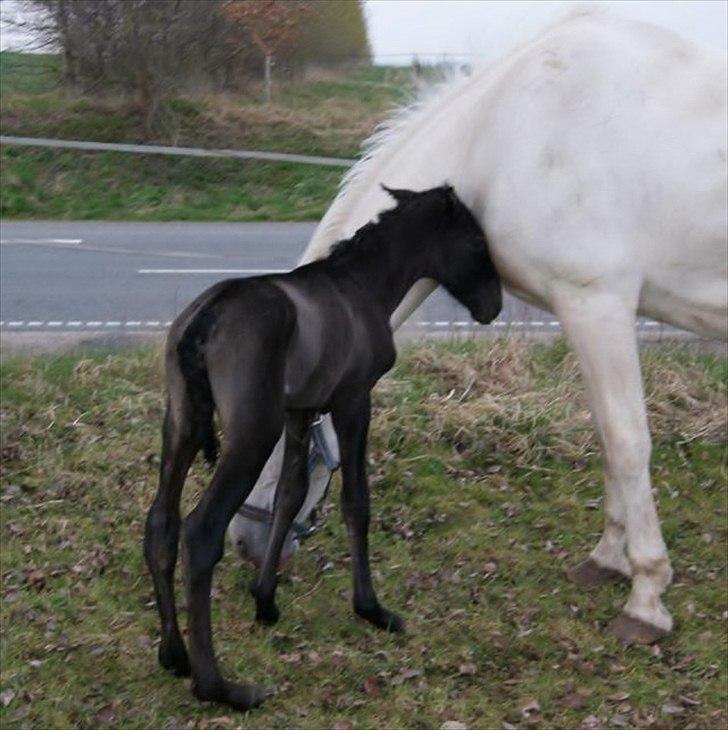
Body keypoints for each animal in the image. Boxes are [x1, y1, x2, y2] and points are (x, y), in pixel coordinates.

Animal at [142, 185, 500, 708]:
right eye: (476, 241)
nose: (493, 306)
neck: (361, 286)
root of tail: (203, 322)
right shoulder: (354, 400)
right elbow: (356, 500)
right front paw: (372, 609)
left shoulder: (301, 410)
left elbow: (290, 494)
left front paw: (265, 601)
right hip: (251, 434)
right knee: (201, 532)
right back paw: (219, 687)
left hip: (182, 422)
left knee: (161, 524)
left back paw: (173, 655)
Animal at [232, 8, 728, 640]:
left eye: (270, 440)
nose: (243, 543)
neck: (507, 134)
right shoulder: (590, 315)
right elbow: (605, 435)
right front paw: (606, 560)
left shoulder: (599, 305)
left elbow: (627, 441)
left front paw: (645, 597)